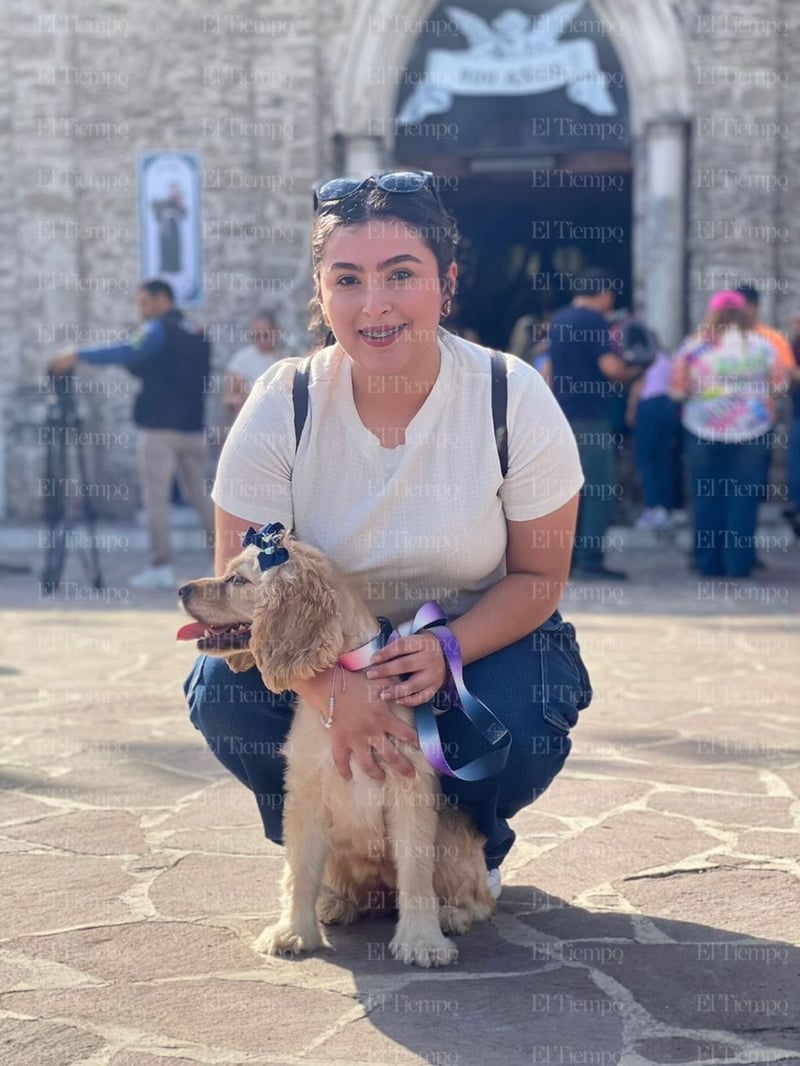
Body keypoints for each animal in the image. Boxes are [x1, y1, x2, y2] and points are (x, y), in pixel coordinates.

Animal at [179, 524, 499, 967]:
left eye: (238, 581)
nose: (181, 590)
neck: (350, 674)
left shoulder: (410, 789)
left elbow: (416, 871)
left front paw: (422, 941)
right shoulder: (304, 793)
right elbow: (299, 870)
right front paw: (293, 931)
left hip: (452, 837)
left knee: (479, 899)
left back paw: (452, 914)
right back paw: (334, 903)